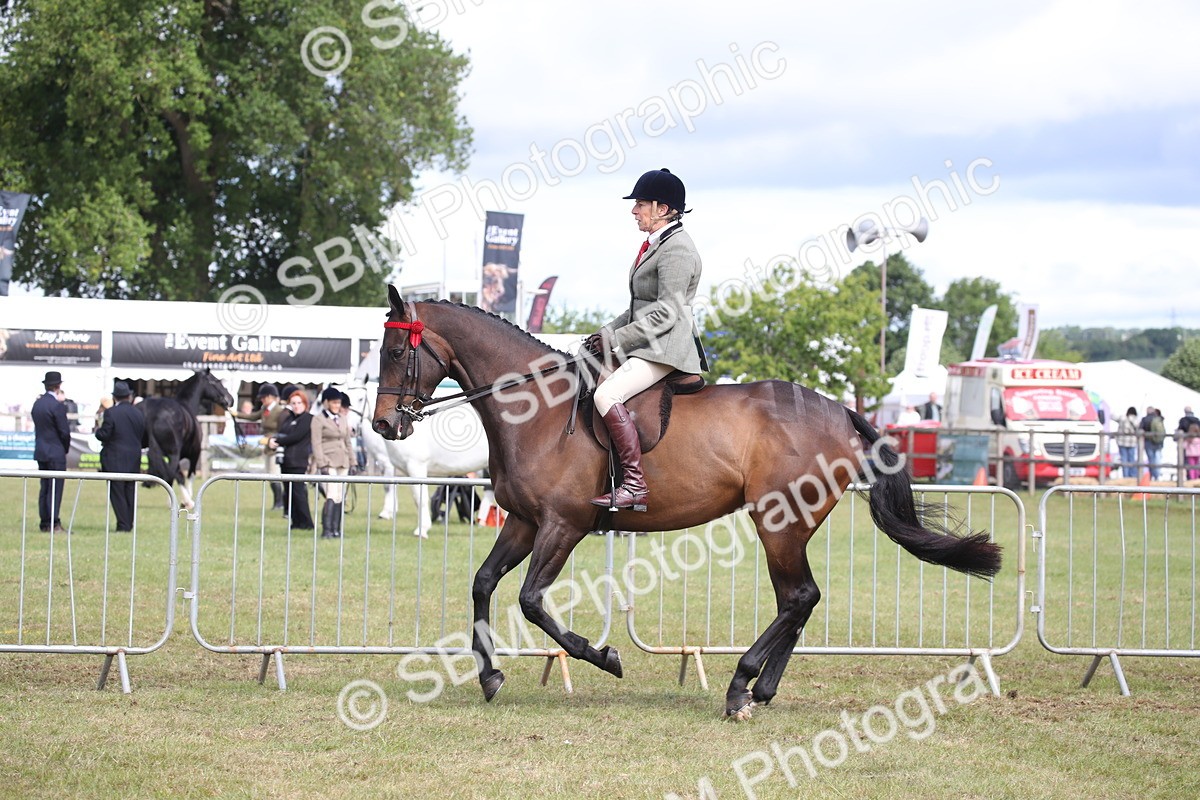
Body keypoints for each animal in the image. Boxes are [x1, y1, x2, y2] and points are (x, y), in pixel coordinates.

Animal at [139, 369, 235, 509]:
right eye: (216, 381)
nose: (230, 399)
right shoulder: (194, 453)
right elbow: (189, 475)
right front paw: (186, 501)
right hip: (174, 453)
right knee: (174, 473)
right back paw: (187, 501)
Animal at [371, 288, 1002, 719]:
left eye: (398, 349)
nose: (383, 425)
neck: (539, 410)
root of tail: (840, 411)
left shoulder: (563, 525)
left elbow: (530, 600)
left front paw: (604, 656)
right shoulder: (525, 522)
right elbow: (483, 584)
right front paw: (490, 677)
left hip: (781, 522)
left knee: (799, 596)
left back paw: (740, 686)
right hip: (787, 527)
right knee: (798, 599)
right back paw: (761, 689)